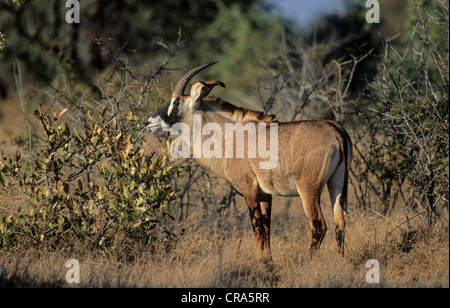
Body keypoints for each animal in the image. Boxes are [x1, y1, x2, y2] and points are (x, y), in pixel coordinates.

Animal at [147, 62, 352, 262]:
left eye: (176, 102)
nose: (149, 121)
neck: (229, 134)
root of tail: (335, 130)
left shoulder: (249, 188)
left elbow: (257, 227)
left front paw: (262, 263)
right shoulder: (265, 195)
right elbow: (267, 228)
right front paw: (268, 261)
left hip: (308, 189)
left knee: (318, 225)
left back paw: (306, 261)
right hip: (336, 185)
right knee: (339, 223)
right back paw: (341, 263)